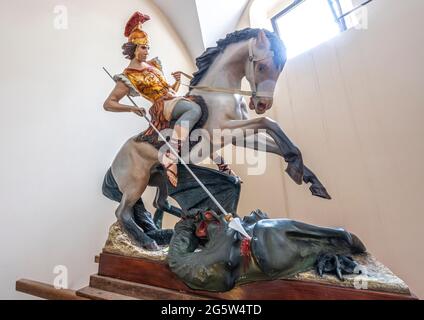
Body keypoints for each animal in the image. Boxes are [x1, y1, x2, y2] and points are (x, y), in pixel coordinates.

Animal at [103, 28, 332, 250]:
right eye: (262, 67)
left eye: (279, 68)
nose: (262, 104)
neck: (221, 94)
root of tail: (113, 165)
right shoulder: (225, 131)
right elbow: (268, 122)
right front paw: (295, 167)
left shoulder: (240, 137)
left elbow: (274, 142)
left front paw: (311, 180)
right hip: (136, 184)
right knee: (122, 212)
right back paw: (149, 241)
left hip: (161, 179)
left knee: (161, 203)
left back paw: (190, 218)